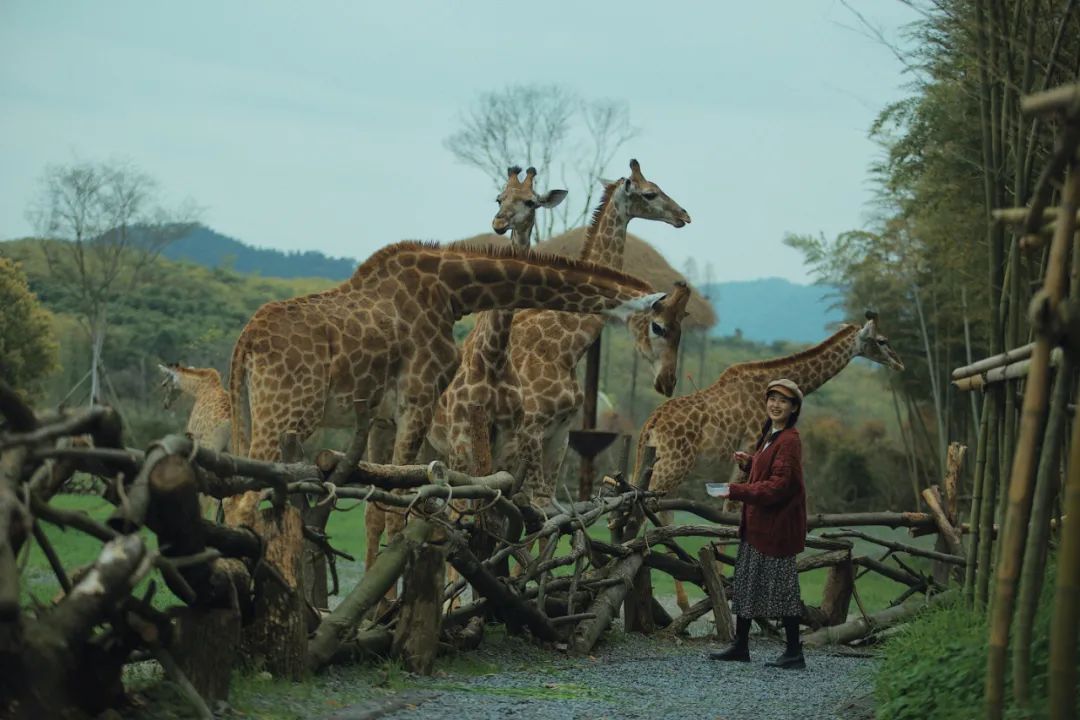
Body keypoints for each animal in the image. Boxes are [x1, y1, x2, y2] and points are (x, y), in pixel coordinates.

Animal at [225, 241, 665, 528]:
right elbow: (401, 503)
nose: (665, 381)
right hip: (289, 411)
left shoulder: (396, 415)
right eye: (660, 326)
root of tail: (245, 342)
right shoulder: (417, 399)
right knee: (245, 501)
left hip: (254, 411)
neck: (454, 291)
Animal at [483, 158, 686, 507]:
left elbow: (544, 507)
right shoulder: (530, 431)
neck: (566, 342)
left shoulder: (561, 434)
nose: (683, 215)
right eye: (650, 193)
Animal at [635, 313, 907, 613]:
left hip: (660, 464)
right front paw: (720, 585)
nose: (900, 363)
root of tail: (650, 424)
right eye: (882, 340)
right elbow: (730, 514)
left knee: (656, 512)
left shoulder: (746, 457)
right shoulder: (750, 444)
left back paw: (677, 601)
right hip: (673, 464)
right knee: (641, 509)